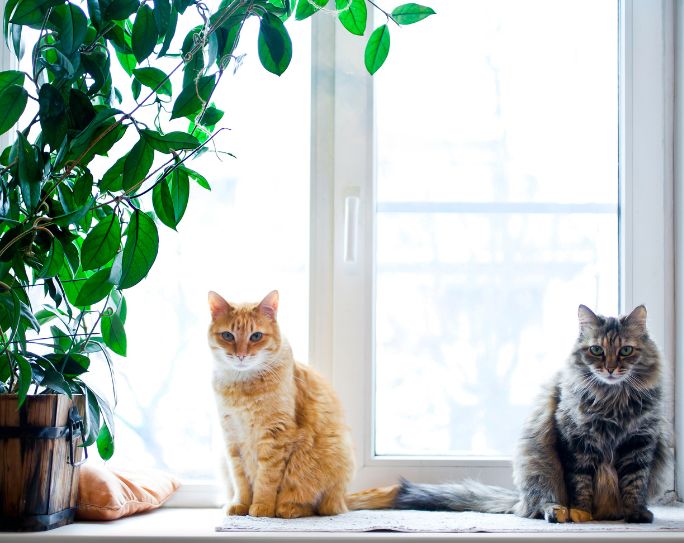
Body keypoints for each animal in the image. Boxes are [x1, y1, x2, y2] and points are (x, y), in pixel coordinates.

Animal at [207, 292, 358, 520]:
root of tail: (343, 498)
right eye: (228, 335)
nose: (241, 355)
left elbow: (266, 479)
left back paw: (289, 509)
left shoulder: (275, 435)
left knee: (316, 507)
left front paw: (261, 507)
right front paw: (241, 505)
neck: (242, 387)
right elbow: (240, 480)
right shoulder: (232, 438)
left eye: (255, 336)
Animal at [392, 306, 672, 524]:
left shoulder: (640, 441)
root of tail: (520, 500)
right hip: (538, 466)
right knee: (538, 505)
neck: (612, 400)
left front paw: (635, 513)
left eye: (625, 351)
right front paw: (581, 513)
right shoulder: (576, 440)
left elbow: (635, 482)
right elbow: (580, 483)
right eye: (596, 350)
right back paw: (557, 512)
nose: (611, 369)